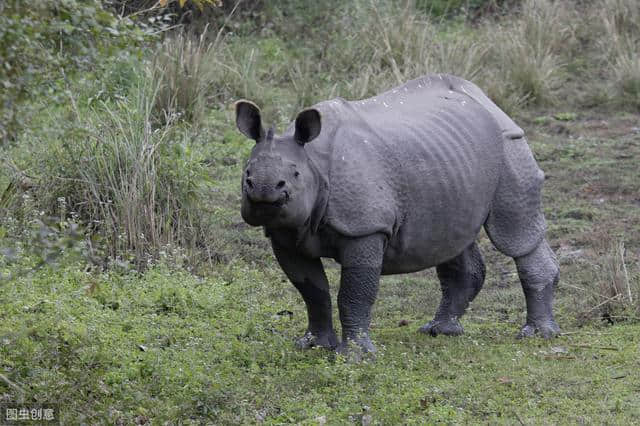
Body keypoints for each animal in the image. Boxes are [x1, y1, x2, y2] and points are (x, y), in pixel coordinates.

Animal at [235, 75, 560, 354]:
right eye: (247, 174)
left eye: (294, 175)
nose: (263, 191)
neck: (313, 160)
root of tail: (485, 98)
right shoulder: (285, 234)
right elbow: (312, 291)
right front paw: (314, 345)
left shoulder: (366, 227)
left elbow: (353, 294)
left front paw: (354, 356)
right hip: (449, 160)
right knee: (450, 238)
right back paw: (439, 330)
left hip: (510, 142)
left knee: (515, 235)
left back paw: (537, 335)